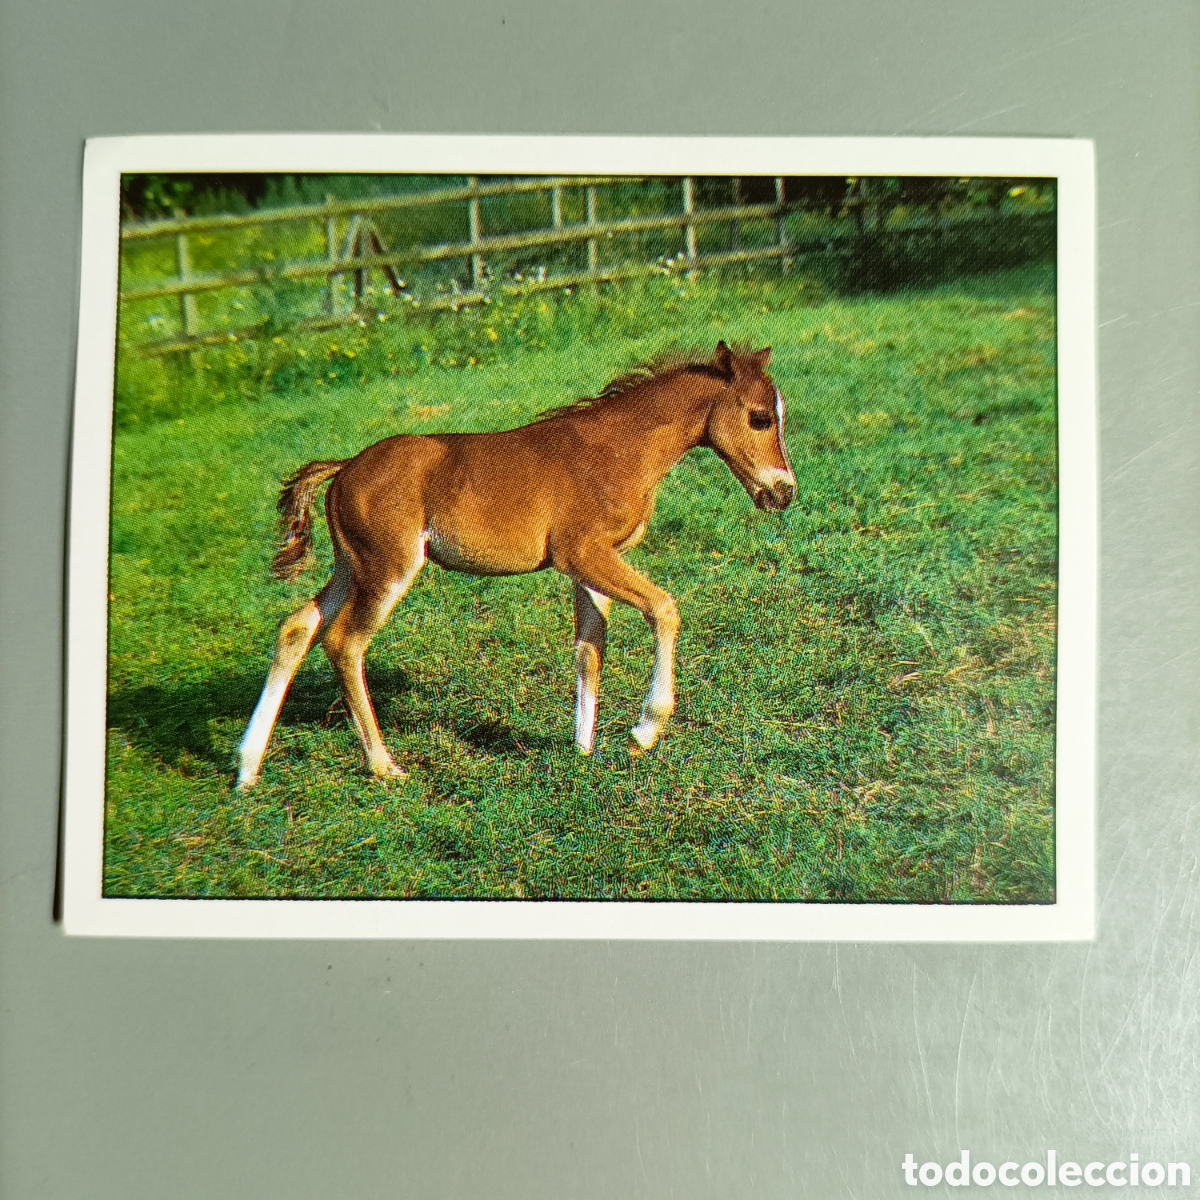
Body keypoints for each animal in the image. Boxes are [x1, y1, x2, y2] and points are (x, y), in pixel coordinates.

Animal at [235, 340, 795, 790]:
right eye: (760, 417)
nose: (784, 492)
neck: (619, 447)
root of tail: (345, 467)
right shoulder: (583, 553)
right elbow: (663, 609)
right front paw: (645, 729)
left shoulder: (588, 565)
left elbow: (589, 648)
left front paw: (583, 748)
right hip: (387, 569)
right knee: (345, 642)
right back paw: (383, 764)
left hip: (351, 568)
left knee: (296, 627)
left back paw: (247, 768)